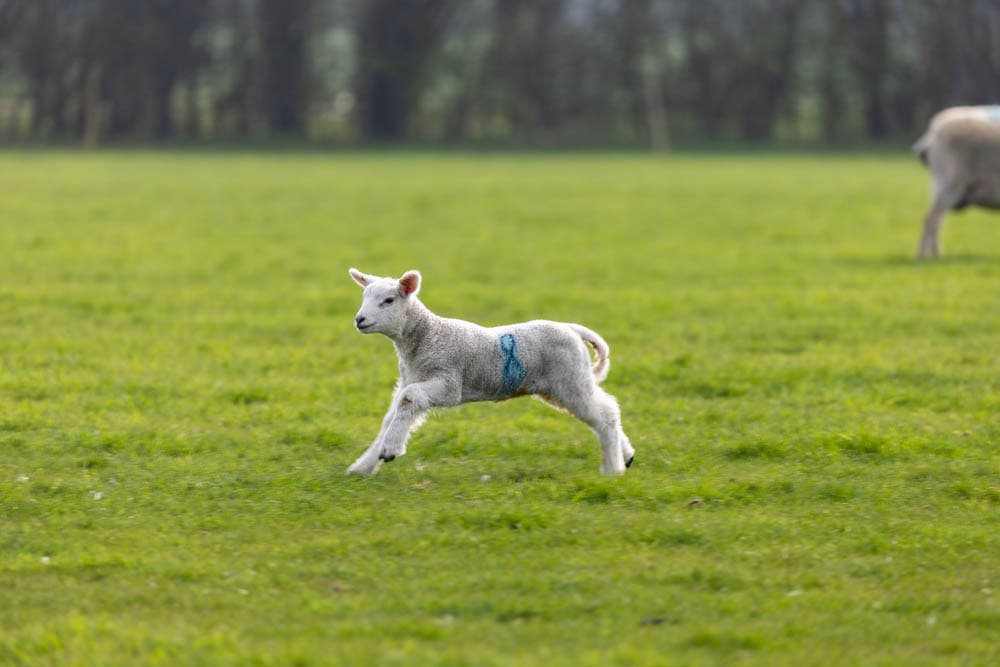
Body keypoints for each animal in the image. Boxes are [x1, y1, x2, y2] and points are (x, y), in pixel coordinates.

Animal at [345, 268, 634, 476]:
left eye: (388, 300)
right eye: (364, 297)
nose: (359, 320)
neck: (428, 335)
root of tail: (572, 328)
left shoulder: (448, 382)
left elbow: (408, 399)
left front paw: (390, 450)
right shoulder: (411, 378)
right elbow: (392, 415)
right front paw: (363, 466)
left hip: (569, 380)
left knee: (605, 415)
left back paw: (613, 469)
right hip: (565, 383)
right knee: (606, 406)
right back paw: (627, 456)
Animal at [913, 105, 1000, 259]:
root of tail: (932, 135)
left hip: (942, 185)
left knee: (936, 220)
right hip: (950, 183)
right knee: (931, 218)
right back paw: (928, 256)